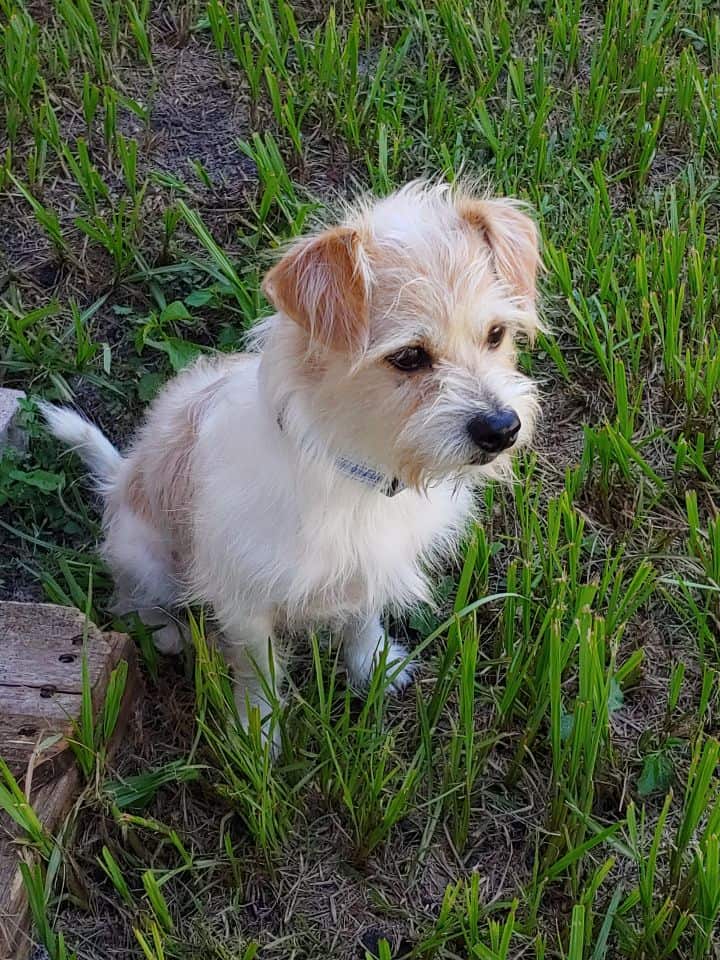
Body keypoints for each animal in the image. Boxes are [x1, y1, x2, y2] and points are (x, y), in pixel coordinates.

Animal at [42, 180, 540, 752]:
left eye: (496, 334)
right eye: (409, 357)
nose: (501, 428)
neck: (355, 471)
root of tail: (119, 479)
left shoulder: (369, 563)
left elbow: (362, 619)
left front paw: (371, 667)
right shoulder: (244, 602)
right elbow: (259, 670)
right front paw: (258, 734)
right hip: (142, 554)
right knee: (138, 601)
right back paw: (170, 633)